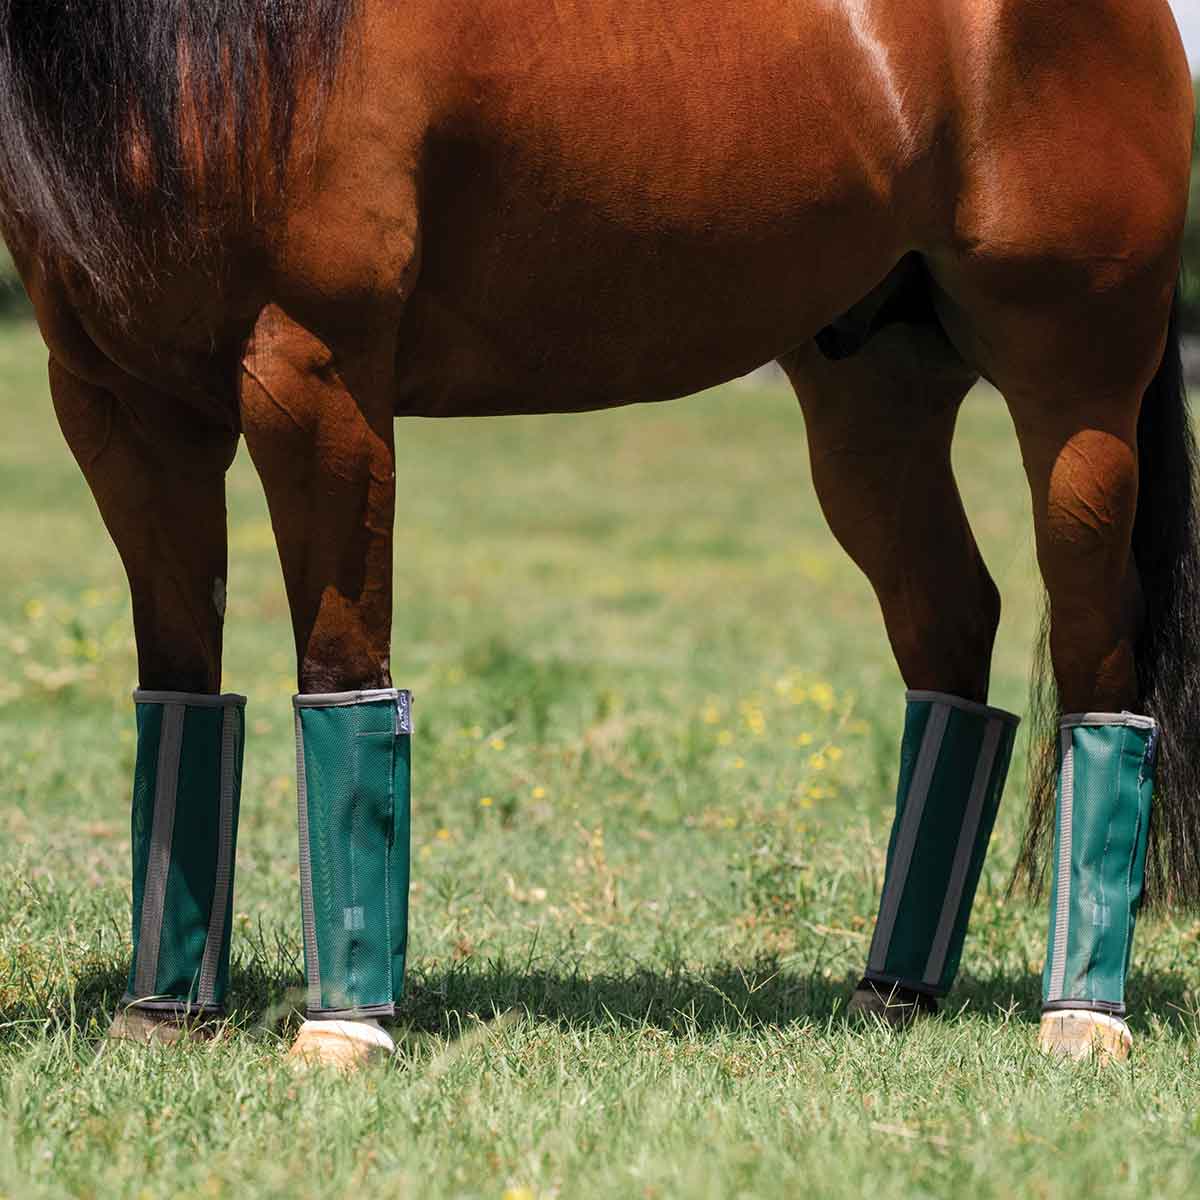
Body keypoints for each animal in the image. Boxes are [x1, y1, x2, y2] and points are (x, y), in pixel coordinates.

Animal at [0, 0, 1194, 1068]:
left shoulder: (315, 372)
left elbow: (341, 674)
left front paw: (344, 1030)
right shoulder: (118, 405)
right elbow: (179, 692)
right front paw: (158, 1015)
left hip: (1075, 385)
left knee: (1096, 651)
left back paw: (1082, 1018)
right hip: (874, 394)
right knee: (953, 628)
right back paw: (893, 991)